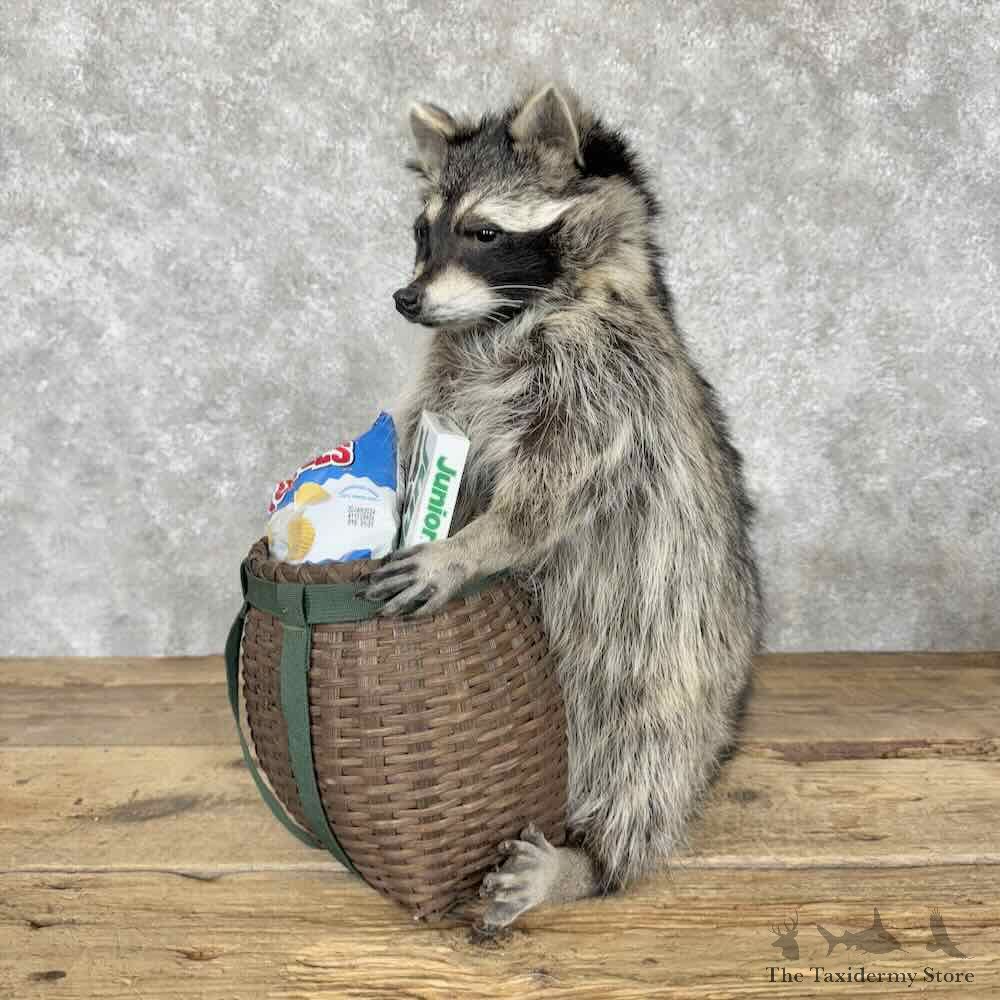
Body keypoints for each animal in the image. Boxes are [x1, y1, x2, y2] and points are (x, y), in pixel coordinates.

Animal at [362, 82, 766, 932]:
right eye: (422, 229)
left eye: (483, 231)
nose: (406, 298)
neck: (501, 318)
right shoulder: (448, 374)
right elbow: (422, 437)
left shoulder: (609, 379)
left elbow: (553, 492)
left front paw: (473, 546)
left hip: (673, 668)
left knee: (646, 763)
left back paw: (594, 862)